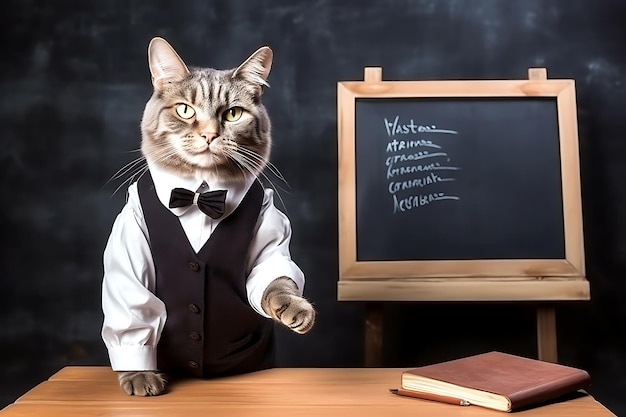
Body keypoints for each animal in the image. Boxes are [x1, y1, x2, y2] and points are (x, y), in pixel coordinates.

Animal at [103, 38, 316, 396]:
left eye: (233, 114)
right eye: (185, 110)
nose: (209, 135)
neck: (200, 193)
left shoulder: (268, 227)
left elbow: (276, 281)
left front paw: (294, 308)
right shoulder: (130, 237)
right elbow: (134, 315)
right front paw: (139, 373)